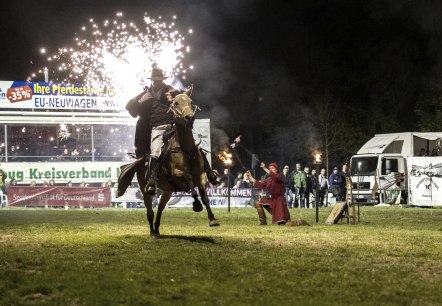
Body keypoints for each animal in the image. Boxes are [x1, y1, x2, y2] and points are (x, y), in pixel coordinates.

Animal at [118, 92, 220, 235]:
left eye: (190, 101)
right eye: (176, 103)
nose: (189, 118)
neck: (186, 149)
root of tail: (143, 160)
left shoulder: (201, 176)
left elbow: (204, 196)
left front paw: (212, 219)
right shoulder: (177, 174)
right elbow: (189, 180)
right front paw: (196, 205)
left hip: (168, 190)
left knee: (160, 207)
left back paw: (156, 228)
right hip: (145, 190)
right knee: (150, 211)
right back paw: (152, 231)